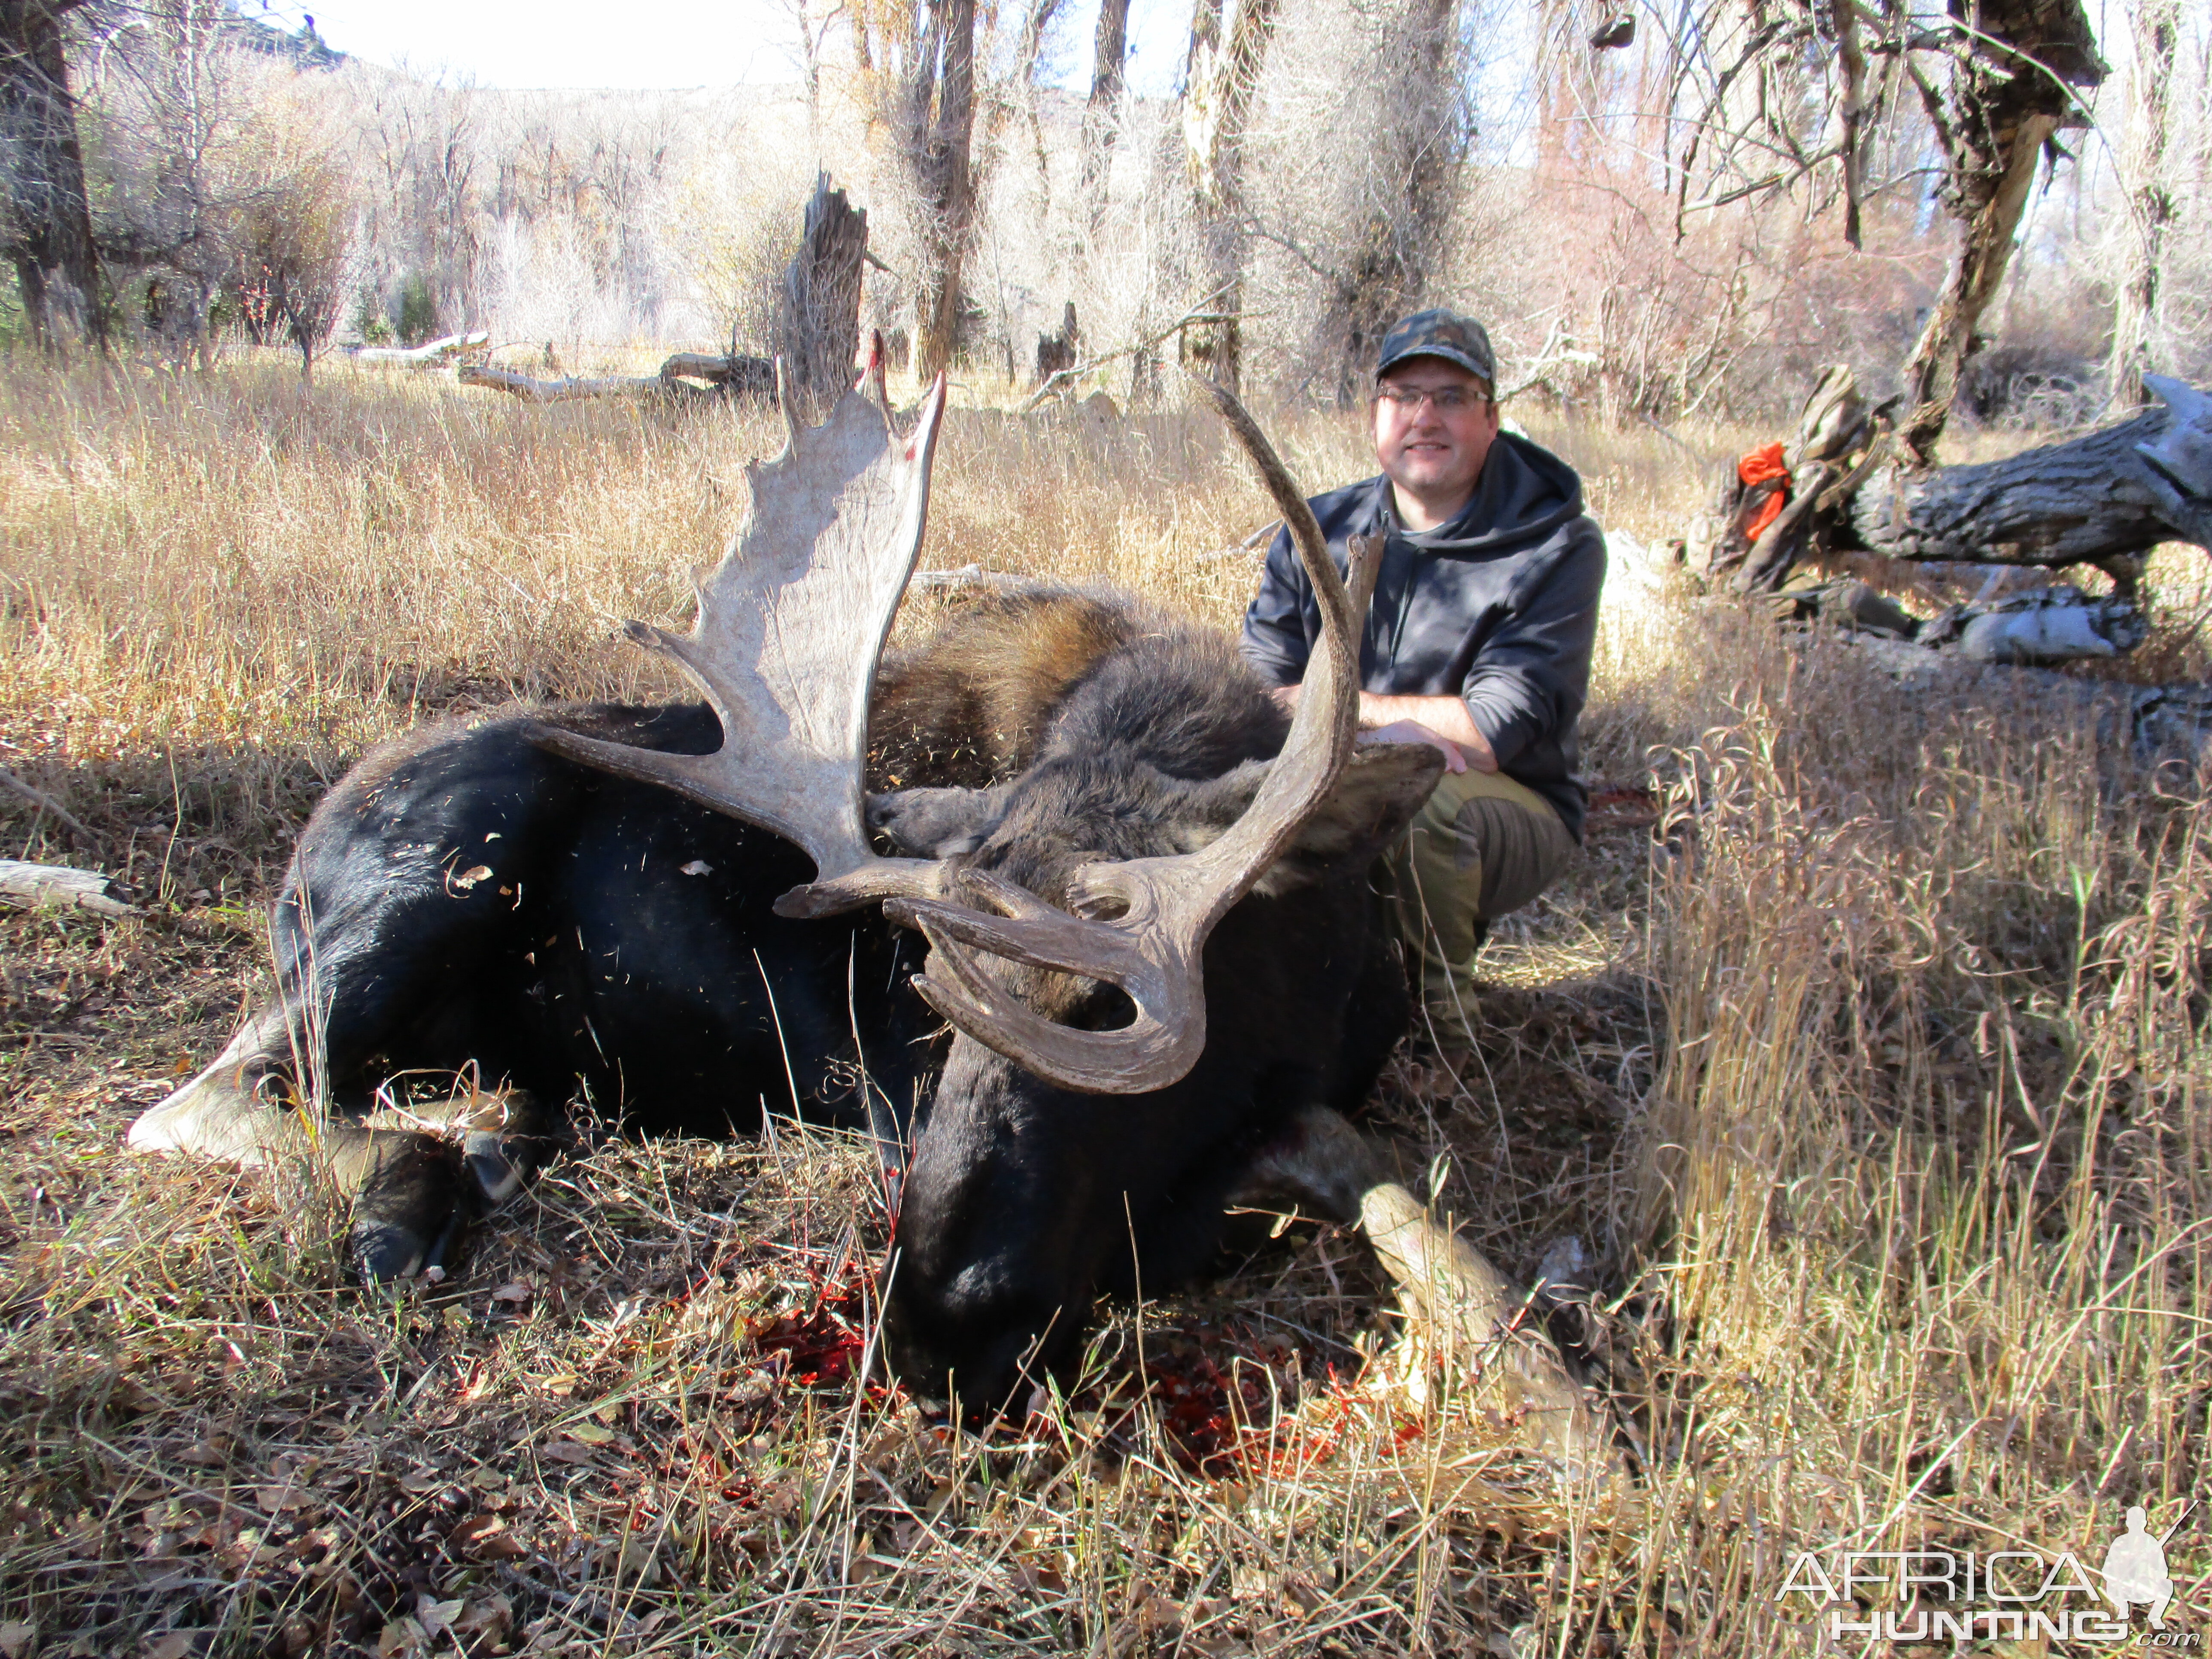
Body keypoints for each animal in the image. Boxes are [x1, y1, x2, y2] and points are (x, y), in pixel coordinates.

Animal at [125, 362, 1610, 1442]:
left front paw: (1552, 1387)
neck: (1315, 986)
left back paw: (495, 1129)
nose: (939, 1334)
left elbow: (1417, 1215)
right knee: (211, 1090)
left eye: (1102, 1003)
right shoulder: (889, 1101)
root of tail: (308, 839)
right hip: (410, 903)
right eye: (928, 997)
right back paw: (417, 1178)